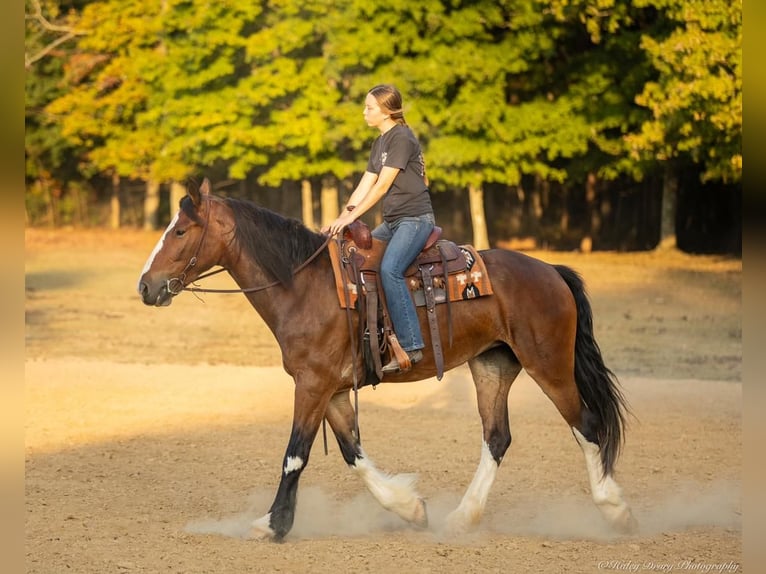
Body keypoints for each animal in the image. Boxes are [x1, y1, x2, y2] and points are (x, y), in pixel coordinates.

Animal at [136, 180, 636, 544]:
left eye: (180, 231)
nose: (145, 286)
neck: (305, 286)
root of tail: (552, 271)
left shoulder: (312, 385)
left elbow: (295, 455)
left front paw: (272, 524)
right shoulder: (333, 389)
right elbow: (352, 453)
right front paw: (409, 507)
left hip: (549, 365)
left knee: (587, 425)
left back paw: (615, 510)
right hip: (492, 366)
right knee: (497, 438)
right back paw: (462, 517)